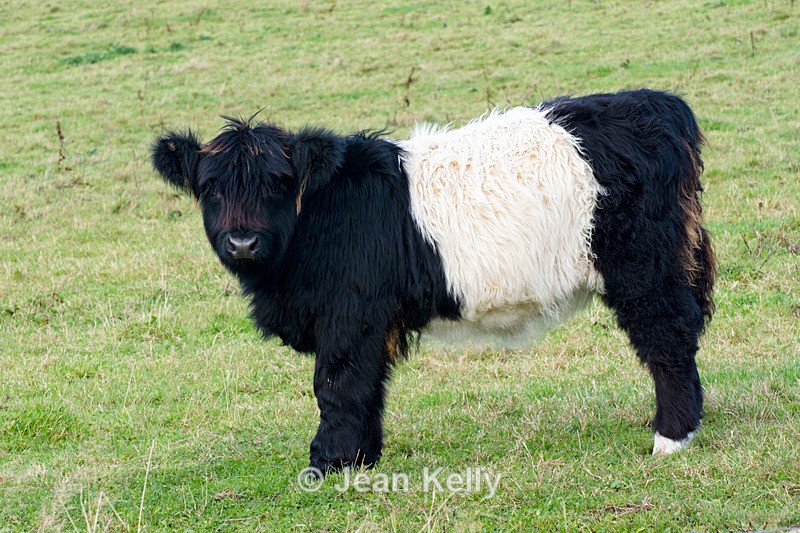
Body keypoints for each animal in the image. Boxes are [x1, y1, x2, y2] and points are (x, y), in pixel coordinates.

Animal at [151, 89, 716, 474]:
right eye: (210, 188)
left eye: (278, 183)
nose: (242, 242)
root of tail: (655, 103)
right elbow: (367, 388)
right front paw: (362, 458)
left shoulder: (350, 319)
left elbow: (338, 386)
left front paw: (329, 461)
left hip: (644, 271)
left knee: (667, 341)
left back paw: (670, 437)